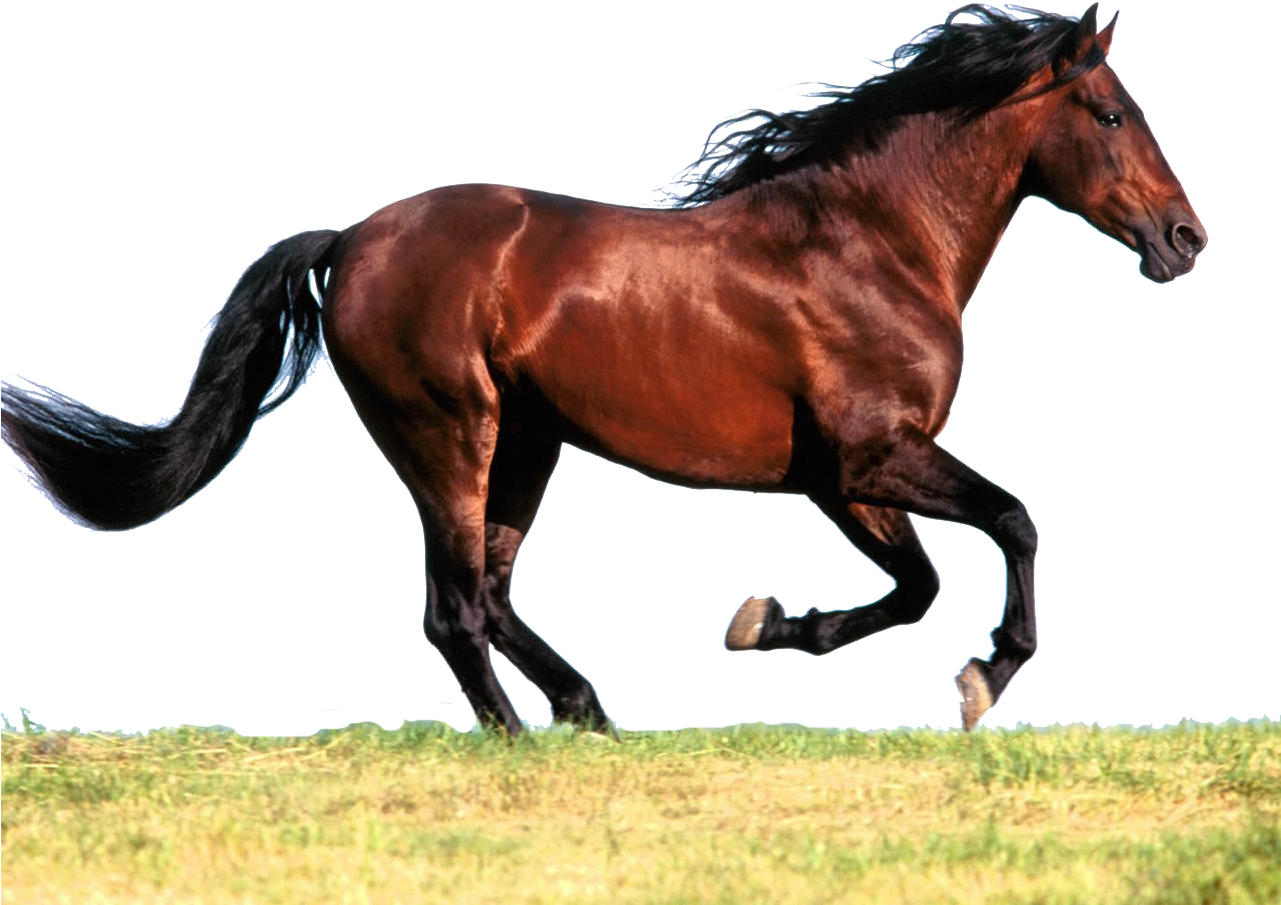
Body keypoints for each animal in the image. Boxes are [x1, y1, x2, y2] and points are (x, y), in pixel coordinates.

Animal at [0, 4, 1205, 734]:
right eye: (1111, 112)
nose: (1186, 239)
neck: (871, 240)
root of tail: (349, 238)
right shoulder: (874, 454)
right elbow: (1013, 523)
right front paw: (984, 677)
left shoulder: (840, 477)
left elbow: (917, 584)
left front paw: (765, 622)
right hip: (450, 434)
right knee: (454, 605)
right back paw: (519, 734)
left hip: (527, 444)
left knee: (491, 588)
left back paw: (587, 711)